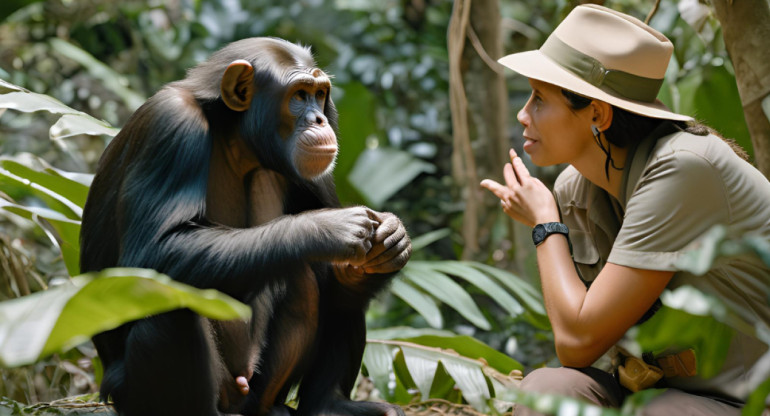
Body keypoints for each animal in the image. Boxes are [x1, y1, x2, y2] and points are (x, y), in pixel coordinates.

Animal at [81, 36, 412, 416]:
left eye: (320, 94)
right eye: (299, 95)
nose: (318, 118)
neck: (238, 140)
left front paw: (391, 240)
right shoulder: (171, 125)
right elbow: (152, 252)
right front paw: (327, 229)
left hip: (263, 388)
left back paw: (328, 404)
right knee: (170, 304)